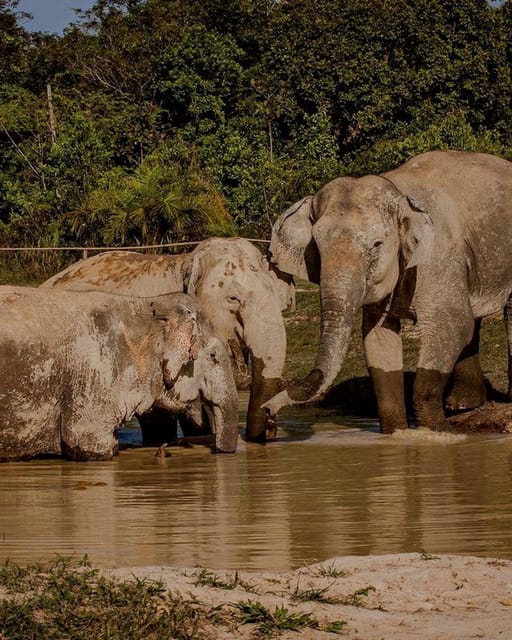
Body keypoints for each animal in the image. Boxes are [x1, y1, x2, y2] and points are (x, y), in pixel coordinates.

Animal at [264, 150, 512, 433]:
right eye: (316, 246)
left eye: (376, 245)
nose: (268, 414)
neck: (398, 191)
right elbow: (379, 339)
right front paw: (396, 433)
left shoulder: (437, 257)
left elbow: (451, 324)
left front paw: (438, 433)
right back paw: (462, 405)